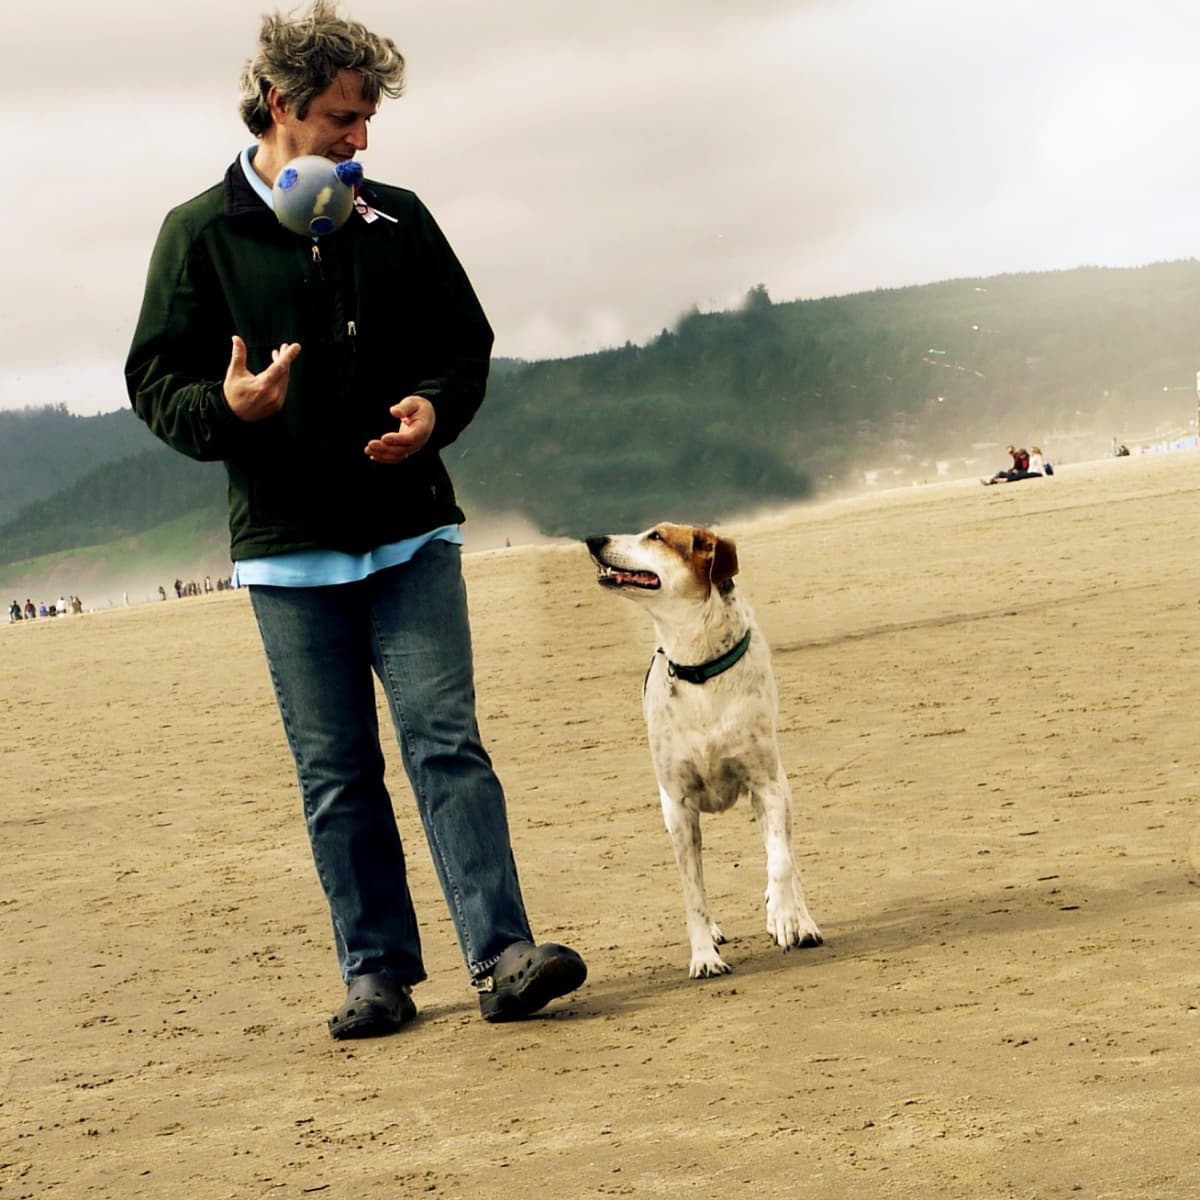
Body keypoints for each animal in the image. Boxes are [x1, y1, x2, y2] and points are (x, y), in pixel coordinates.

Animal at [583, 523, 825, 974]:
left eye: (656, 536)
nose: (592, 539)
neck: (700, 670)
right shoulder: (678, 807)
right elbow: (693, 891)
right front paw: (704, 957)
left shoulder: (767, 786)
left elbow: (780, 861)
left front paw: (784, 917)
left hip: (779, 791)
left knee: (784, 853)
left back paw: (799, 919)